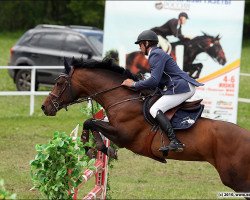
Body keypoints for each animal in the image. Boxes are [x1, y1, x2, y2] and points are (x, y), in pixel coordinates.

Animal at [42, 57, 249, 192]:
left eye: (60, 83)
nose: (45, 107)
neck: (122, 98)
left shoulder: (123, 135)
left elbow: (91, 121)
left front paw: (93, 147)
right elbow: (92, 123)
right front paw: (97, 148)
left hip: (236, 179)